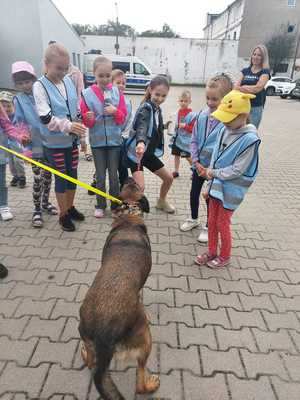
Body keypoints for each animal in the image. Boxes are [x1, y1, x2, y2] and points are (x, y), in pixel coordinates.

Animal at [79, 179, 159, 400]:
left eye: (128, 185)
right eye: (134, 184)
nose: (130, 178)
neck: (129, 215)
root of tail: (104, 334)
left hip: (85, 335)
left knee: (91, 362)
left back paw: (85, 355)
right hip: (146, 340)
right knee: (139, 382)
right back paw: (150, 385)